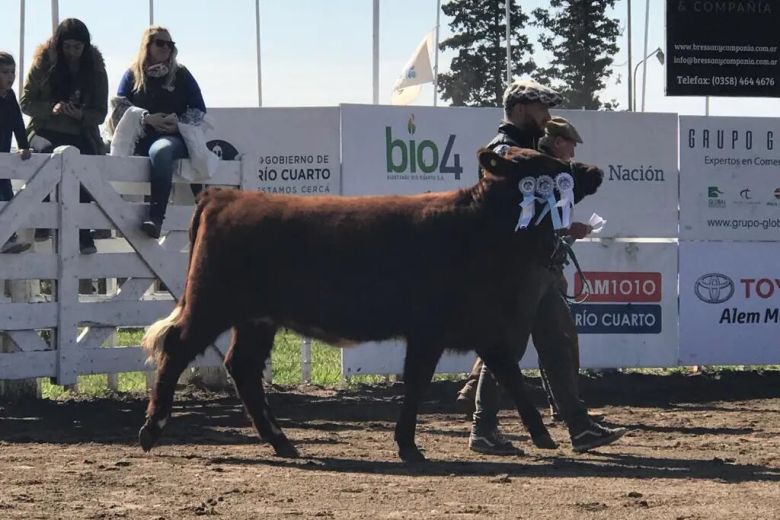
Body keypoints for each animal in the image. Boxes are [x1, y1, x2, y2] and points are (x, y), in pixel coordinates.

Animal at [140, 147, 604, 464]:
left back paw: (282, 442)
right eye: (544, 165)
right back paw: (151, 430)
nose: (594, 169)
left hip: (257, 318)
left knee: (243, 367)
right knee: (178, 348)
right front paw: (409, 445)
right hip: (211, 302)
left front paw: (544, 434)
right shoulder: (433, 330)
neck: (480, 229)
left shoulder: (479, 326)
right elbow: (420, 383)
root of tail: (223, 197)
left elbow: (506, 374)